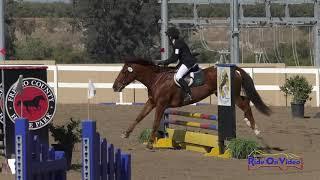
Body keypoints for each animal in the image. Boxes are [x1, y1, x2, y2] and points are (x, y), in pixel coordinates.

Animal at [112, 57, 270, 149]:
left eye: (125, 72)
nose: (115, 87)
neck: (157, 79)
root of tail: (234, 69)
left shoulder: (161, 104)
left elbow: (156, 122)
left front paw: (150, 143)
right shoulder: (152, 102)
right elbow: (139, 116)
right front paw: (125, 134)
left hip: (233, 96)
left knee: (245, 104)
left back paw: (256, 130)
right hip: (224, 93)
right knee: (246, 101)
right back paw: (251, 125)